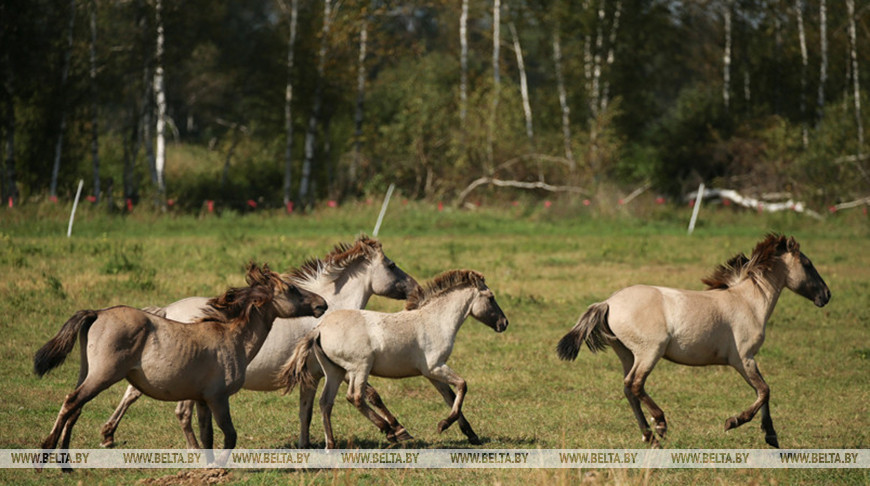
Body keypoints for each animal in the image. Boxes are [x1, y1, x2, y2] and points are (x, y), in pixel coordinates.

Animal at [33, 263, 327, 470]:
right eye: (291, 289)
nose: (321, 304)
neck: (232, 338)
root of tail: (97, 313)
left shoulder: (201, 400)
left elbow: (207, 436)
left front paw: (208, 466)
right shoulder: (218, 398)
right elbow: (229, 435)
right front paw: (219, 466)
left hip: (88, 374)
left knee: (75, 410)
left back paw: (66, 464)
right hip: (102, 376)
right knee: (71, 402)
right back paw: (45, 455)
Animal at [99, 236, 420, 449]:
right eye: (392, 265)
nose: (416, 289)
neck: (331, 314)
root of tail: (167, 310)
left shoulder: (312, 376)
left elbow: (306, 413)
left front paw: (305, 445)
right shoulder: (338, 369)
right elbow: (370, 394)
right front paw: (396, 430)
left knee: (132, 393)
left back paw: (108, 434)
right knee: (167, 407)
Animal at [280, 269, 509, 450]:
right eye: (491, 297)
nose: (504, 323)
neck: (435, 321)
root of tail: (319, 328)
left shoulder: (432, 374)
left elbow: (451, 396)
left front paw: (471, 435)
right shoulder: (435, 368)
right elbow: (462, 385)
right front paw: (443, 425)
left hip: (335, 371)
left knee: (326, 402)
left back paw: (331, 445)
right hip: (360, 368)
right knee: (355, 397)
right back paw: (389, 429)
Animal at [557, 234, 830, 448]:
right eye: (808, 264)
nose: (826, 295)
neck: (748, 302)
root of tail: (608, 302)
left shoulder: (748, 360)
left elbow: (763, 392)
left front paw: (771, 435)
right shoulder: (743, 359)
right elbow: (764, 391)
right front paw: (733, 422)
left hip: (627, 354)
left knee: (629, 388)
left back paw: (649, 435)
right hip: (649, 352)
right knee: (634, 384)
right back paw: (660, 425)